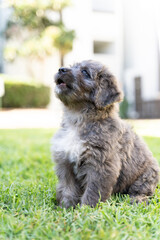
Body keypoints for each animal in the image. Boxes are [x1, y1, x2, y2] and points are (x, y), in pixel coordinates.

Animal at [52, 59, 159, 207]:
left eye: (85, 72)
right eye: (72, 66)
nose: (61, 69)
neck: (78, 119)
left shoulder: (100, 164)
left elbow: (93, 190)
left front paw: (87, 208)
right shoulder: (65, 163)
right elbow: (67, 188)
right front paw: (66, 207)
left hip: (147, 176)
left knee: (141, 191)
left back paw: (136, 199)